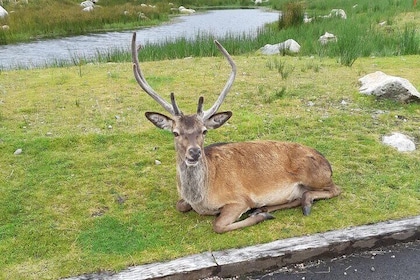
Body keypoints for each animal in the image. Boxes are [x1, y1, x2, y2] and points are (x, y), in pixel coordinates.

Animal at [131, 32, 342, 234]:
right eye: (175, 132)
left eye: (204, 131)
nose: (194, 152)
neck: (201, 198)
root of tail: (327, 163)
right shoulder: (185, 200)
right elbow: (179, 205)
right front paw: (261, 212)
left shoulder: (239, 199)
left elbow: (217, 225)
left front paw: (258, 216)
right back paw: (267, 207)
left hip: (314, 175)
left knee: (335, 189)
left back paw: (296, 205)